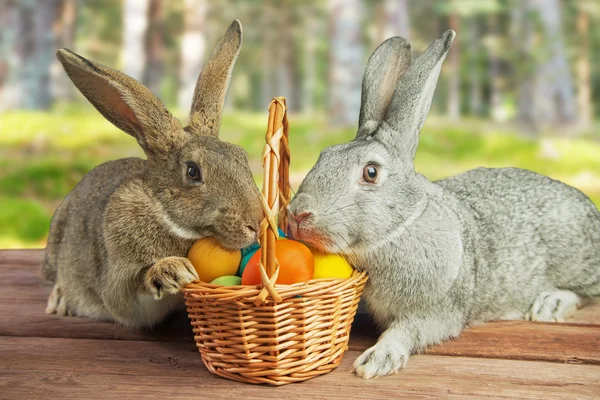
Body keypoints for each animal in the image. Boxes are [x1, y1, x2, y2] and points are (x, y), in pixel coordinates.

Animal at [39, 20, 260, 326]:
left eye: (240, 156)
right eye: (193, 171)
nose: (256, 223)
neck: (165, 215)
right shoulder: (121, 281)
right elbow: (132, 287)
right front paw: (172, 271)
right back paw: (59, 300)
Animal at [288, 29, 600, 380]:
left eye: (371, 172)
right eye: (324, 155)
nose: (298, 214)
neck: (400, 228)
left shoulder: (438, 311)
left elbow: (407, 331)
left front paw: (376, 361)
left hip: (573, 255)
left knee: (588, 292)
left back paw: (550, 304)